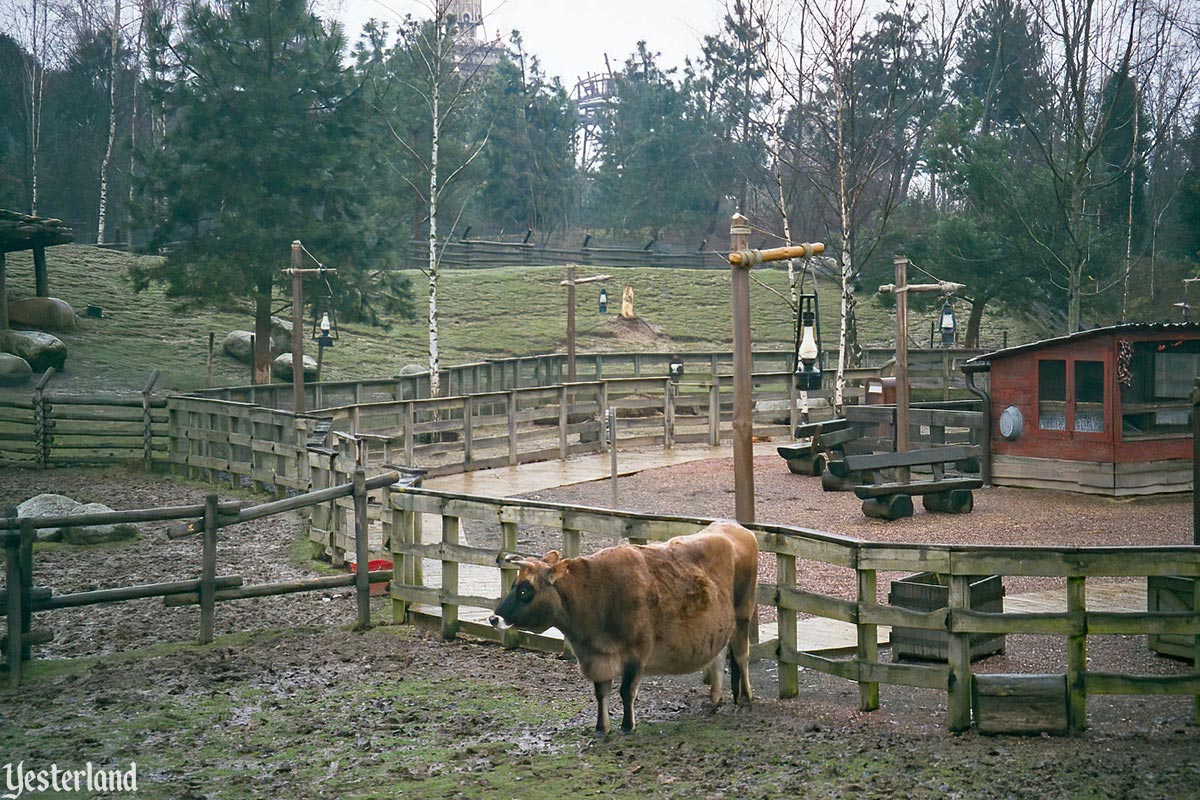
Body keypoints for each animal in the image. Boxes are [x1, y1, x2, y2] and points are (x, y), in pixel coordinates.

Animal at [489, 522, 758, 734]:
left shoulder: (636, 651)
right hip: (720, 625)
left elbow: (626, 691)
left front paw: (628, 726)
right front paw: (602, 727)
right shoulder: (596, 656)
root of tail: (736, 528)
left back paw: (746, 698)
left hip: (743, 614)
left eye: (525, 591)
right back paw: (714, 699)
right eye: (513, 585)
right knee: (718, 657)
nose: (494, 618)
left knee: (742, 654)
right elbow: (601, 692)